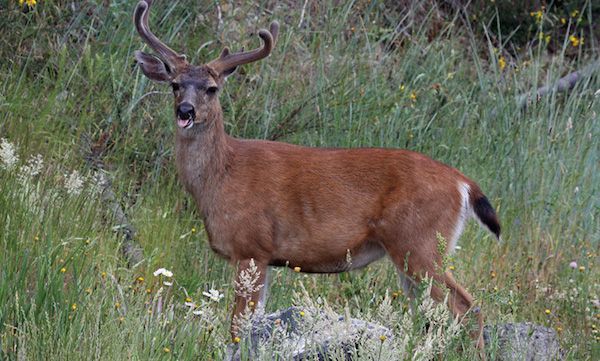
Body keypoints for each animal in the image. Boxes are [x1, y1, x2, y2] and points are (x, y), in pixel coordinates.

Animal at [132, 0, 502, 350]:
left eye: (211, 88)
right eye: (175, 84)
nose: (186, 111)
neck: (221, 176)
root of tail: (463, 183)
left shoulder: (251, 246)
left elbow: (237, 329)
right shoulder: (264, 257)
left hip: (420, 242)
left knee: (467, 307)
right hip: (414, 252)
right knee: (429, 316)